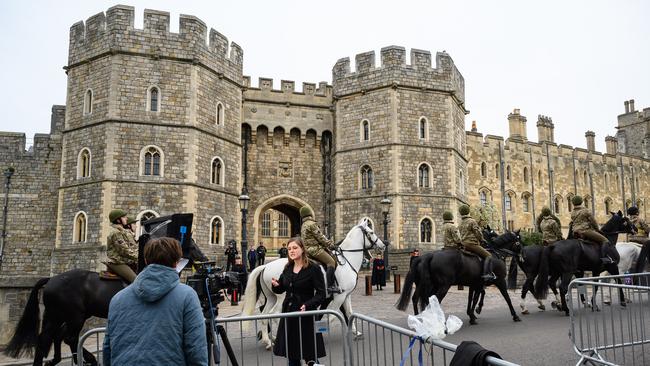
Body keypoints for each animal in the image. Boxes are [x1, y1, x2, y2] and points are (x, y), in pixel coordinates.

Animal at [243, 217, 384, 348]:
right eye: (371, 231)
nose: (383, 245)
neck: (347, 261)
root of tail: (265, 266)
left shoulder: (346, 295)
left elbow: (349, 313)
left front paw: (356, 332)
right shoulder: (339, 296)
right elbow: (332, 316)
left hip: (272, 297)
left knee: (264, 315)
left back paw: (268, 340)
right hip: (281, 298)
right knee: (275, 315)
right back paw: (277, 339)